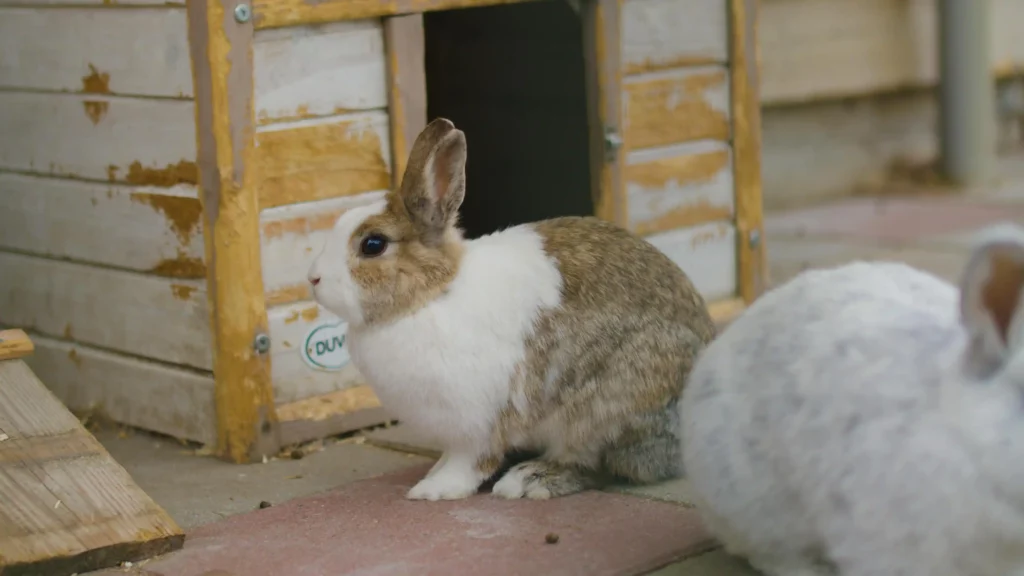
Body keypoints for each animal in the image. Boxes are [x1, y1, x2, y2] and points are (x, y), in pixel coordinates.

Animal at [307, 118, 716, 501]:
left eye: (373, 245)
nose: (313, 279)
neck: (433, 295)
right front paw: (433, 475)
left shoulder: (480, 422)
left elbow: (470, 461)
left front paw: (433, 489)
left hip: (606, 409)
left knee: (601, 465)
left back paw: (528, 481)